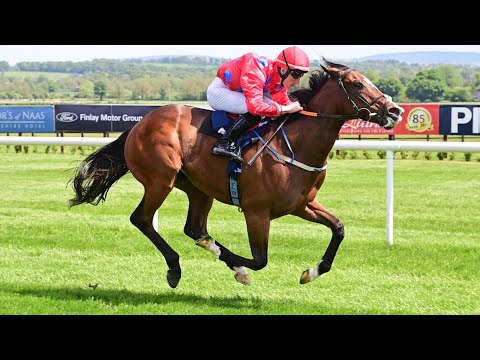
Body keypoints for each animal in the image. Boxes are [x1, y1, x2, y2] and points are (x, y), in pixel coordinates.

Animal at [67, 59, 404, 290]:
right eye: (357, 84)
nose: (395, 111)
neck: (296, 145)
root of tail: (139, 123)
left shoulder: (301, 205)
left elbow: (339, 228)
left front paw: (311, 272)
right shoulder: (257, 211)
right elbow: (258, 260)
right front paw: (240, 270)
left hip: (197, 188)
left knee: (194, 228)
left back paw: (202, 247)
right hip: (160, 179)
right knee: (142, 219)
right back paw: (175, 268)